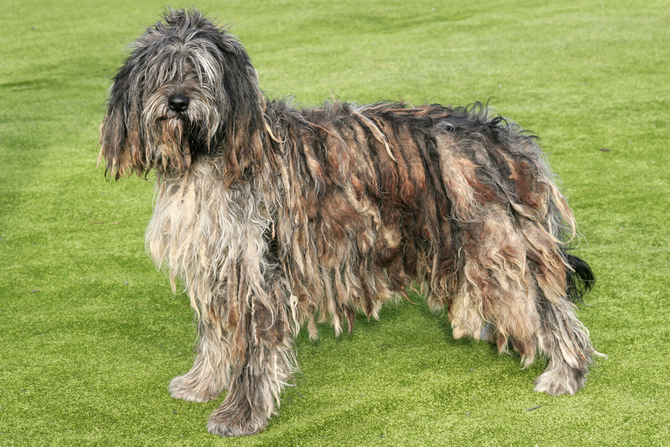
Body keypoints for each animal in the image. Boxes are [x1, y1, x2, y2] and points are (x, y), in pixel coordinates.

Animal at [98, 9, 600, 438]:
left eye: (200, 72)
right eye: (161, 73)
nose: (178, 102)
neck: (211, 154)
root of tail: (501, 136)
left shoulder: (259, 269)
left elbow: (254, 352)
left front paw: (241, 415)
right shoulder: (219, 264)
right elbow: (216, 337)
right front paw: (202, 384)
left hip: (496, 244)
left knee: (551, 308)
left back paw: (566, 372)